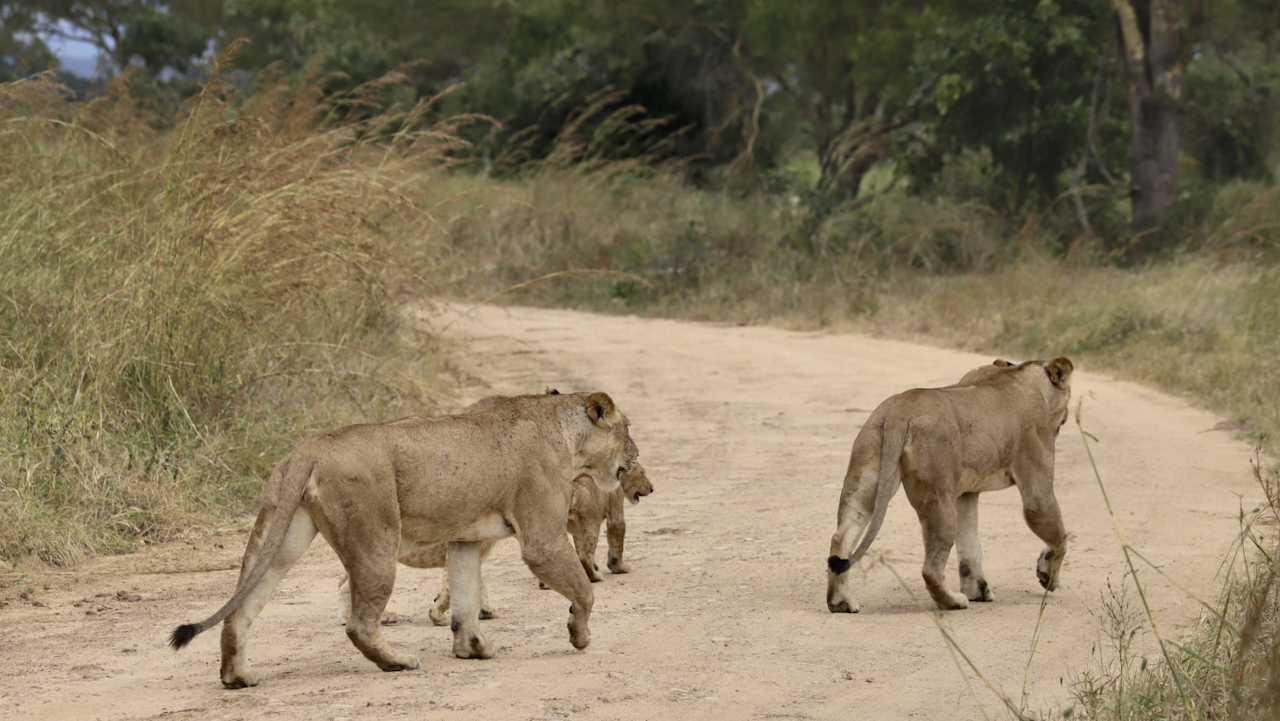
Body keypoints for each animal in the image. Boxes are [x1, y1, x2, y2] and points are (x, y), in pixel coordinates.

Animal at [167, 389, 637, 686]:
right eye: (627, 428)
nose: (635, 454)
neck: (569, 439)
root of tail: (310, 448)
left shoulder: (465, 539)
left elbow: (465, 599)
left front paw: (473, 648)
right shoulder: (542, 539)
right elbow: (584, 589)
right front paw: (579, 635)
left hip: (281, 538)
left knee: (239, 610)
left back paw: (238, 677)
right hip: (375, 540)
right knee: (359, 622)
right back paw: (398, 662)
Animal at [824, 358, 1075, 612]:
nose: (1066, 418)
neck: (1022, 373)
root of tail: (899, 410)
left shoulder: (967, 493)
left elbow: (970, 545)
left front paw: (978, 591)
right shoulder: (1037, 492)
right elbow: (1059, 537)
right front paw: (1048, 577)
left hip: (866, 480)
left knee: (840, 538)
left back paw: (841, 602)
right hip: (938, 494)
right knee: (930, 567)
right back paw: (953, 601)